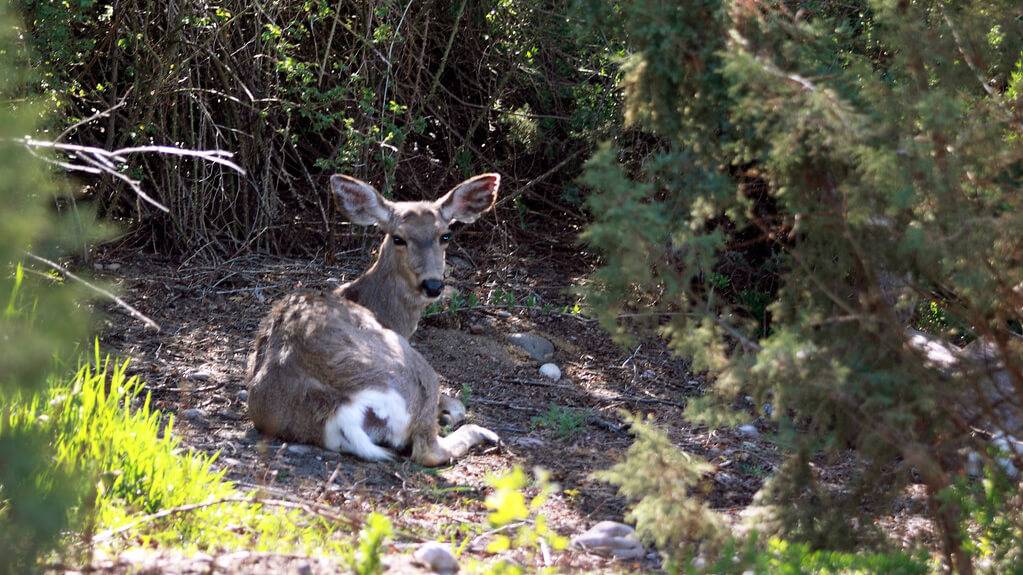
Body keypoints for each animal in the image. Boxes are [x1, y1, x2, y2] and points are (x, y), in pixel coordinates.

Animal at [247, 170, 503, 466]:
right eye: (398, 238)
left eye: (445, 235)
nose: (433, 285)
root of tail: (339, 410)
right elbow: (458, 404)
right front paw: (450, 412)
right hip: (418, 373)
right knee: (427, 449)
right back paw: (483, 433)